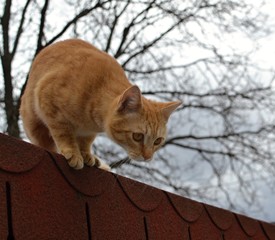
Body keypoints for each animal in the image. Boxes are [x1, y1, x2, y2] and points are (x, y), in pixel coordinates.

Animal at [20, 39, 182, 170]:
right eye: (137, 136)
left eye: (158, 141)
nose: (147, 157)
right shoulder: (49, 104)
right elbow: (63, 133)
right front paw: (73, 151)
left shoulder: (89, 133)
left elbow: (85, 142)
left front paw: (86, 154)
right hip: (34, 124)